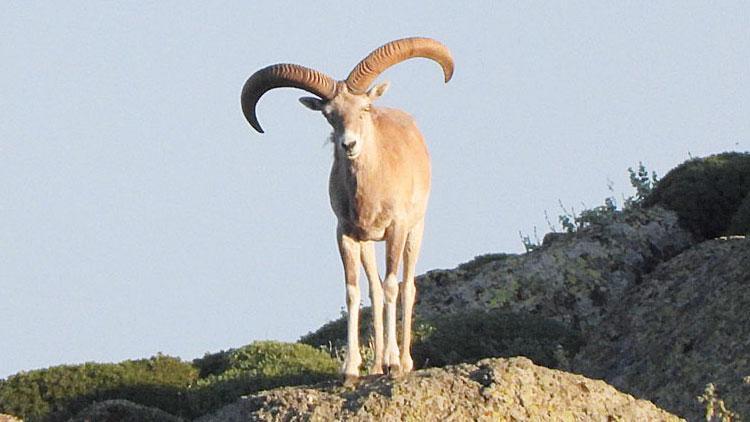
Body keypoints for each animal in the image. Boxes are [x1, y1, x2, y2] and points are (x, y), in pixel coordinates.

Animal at [242, 36, 452, 380]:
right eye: (329, 114)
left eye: (364, 108)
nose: (349, 144)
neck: (372, 190)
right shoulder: (346, 234)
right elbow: (354, 291)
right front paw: (351, 368)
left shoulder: (396, 228)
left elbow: (393, 286)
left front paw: (394, 363)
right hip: (368, 243)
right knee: (374, 289)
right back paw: (377, 364)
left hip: (415, 230)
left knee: (406, 286)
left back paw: (402, 361)